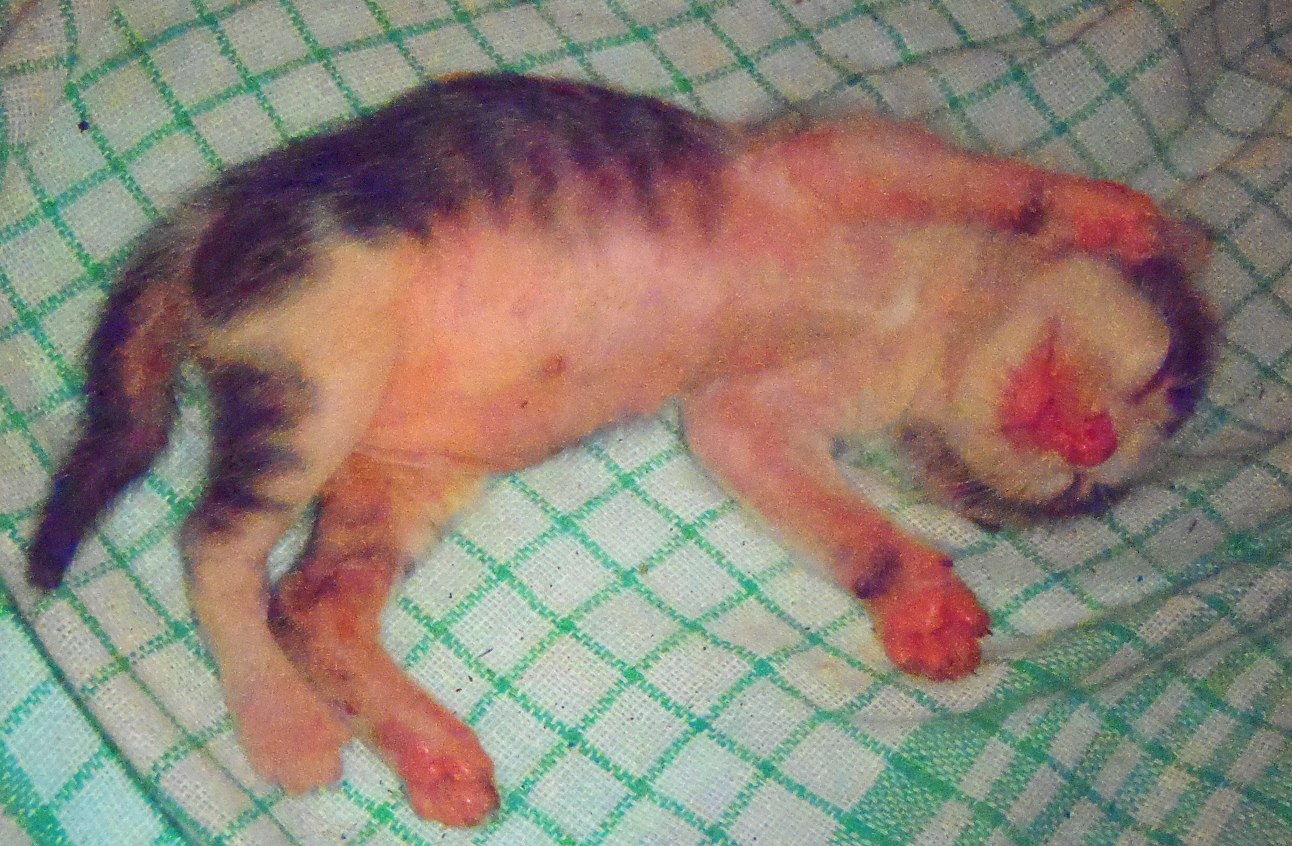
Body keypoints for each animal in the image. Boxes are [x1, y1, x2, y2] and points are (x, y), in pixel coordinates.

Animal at [26, 72, 1216, 827]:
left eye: (1079, 495)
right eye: (1157, 374)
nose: (1087, 438)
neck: (922, 314)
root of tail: (213, 211)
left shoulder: (743, 413)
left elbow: (796, 485)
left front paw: (912, 598)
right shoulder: (843, 152)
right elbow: (991, 177)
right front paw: (1111, 214)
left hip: (401, 464)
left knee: (311, 598)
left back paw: (426, 749)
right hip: (318, 354)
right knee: (216, 545)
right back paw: (282, 728)